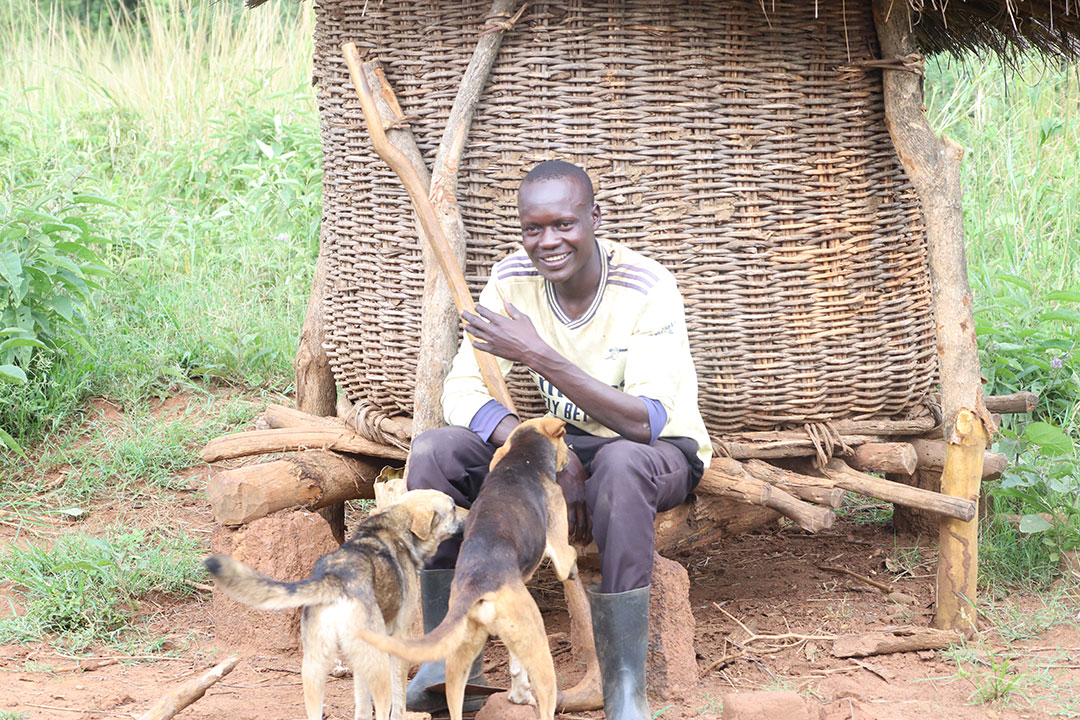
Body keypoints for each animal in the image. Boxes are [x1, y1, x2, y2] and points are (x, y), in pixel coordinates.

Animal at [204, 490, 466, 720]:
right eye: (453, 507)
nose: (469, 511)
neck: (394, 528)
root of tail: (336, 578)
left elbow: (362, 707)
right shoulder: (398, 638)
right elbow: (398, 704)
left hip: (314, 665)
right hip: (375, 661)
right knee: (383, 707)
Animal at [354, 416, 578, 720]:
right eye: (565, 441)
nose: (570, 460)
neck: (521, 459)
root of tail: (478, 585)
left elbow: (515, 666)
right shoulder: (558, 541)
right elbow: (569, 556)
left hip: (459, 658)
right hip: (539, 649)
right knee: (546, 698)